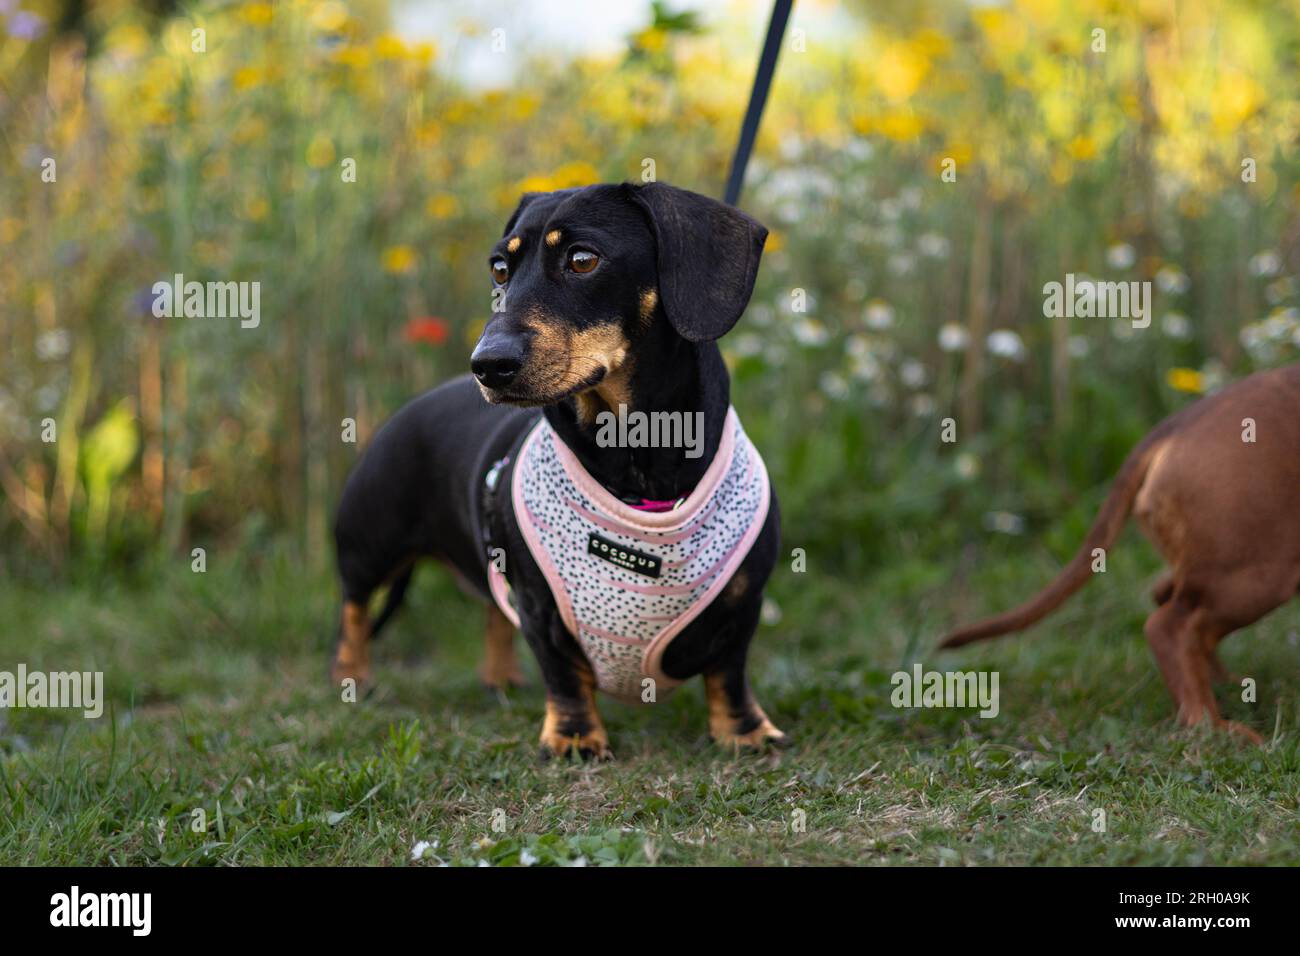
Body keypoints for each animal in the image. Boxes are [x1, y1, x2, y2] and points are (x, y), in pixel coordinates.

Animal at [946, 361, 1300, 743]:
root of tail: (1178, 425)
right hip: (1252, 578)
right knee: (1169, 626)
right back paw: (1212, 724)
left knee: (1172, 605)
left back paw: (1222, 688)